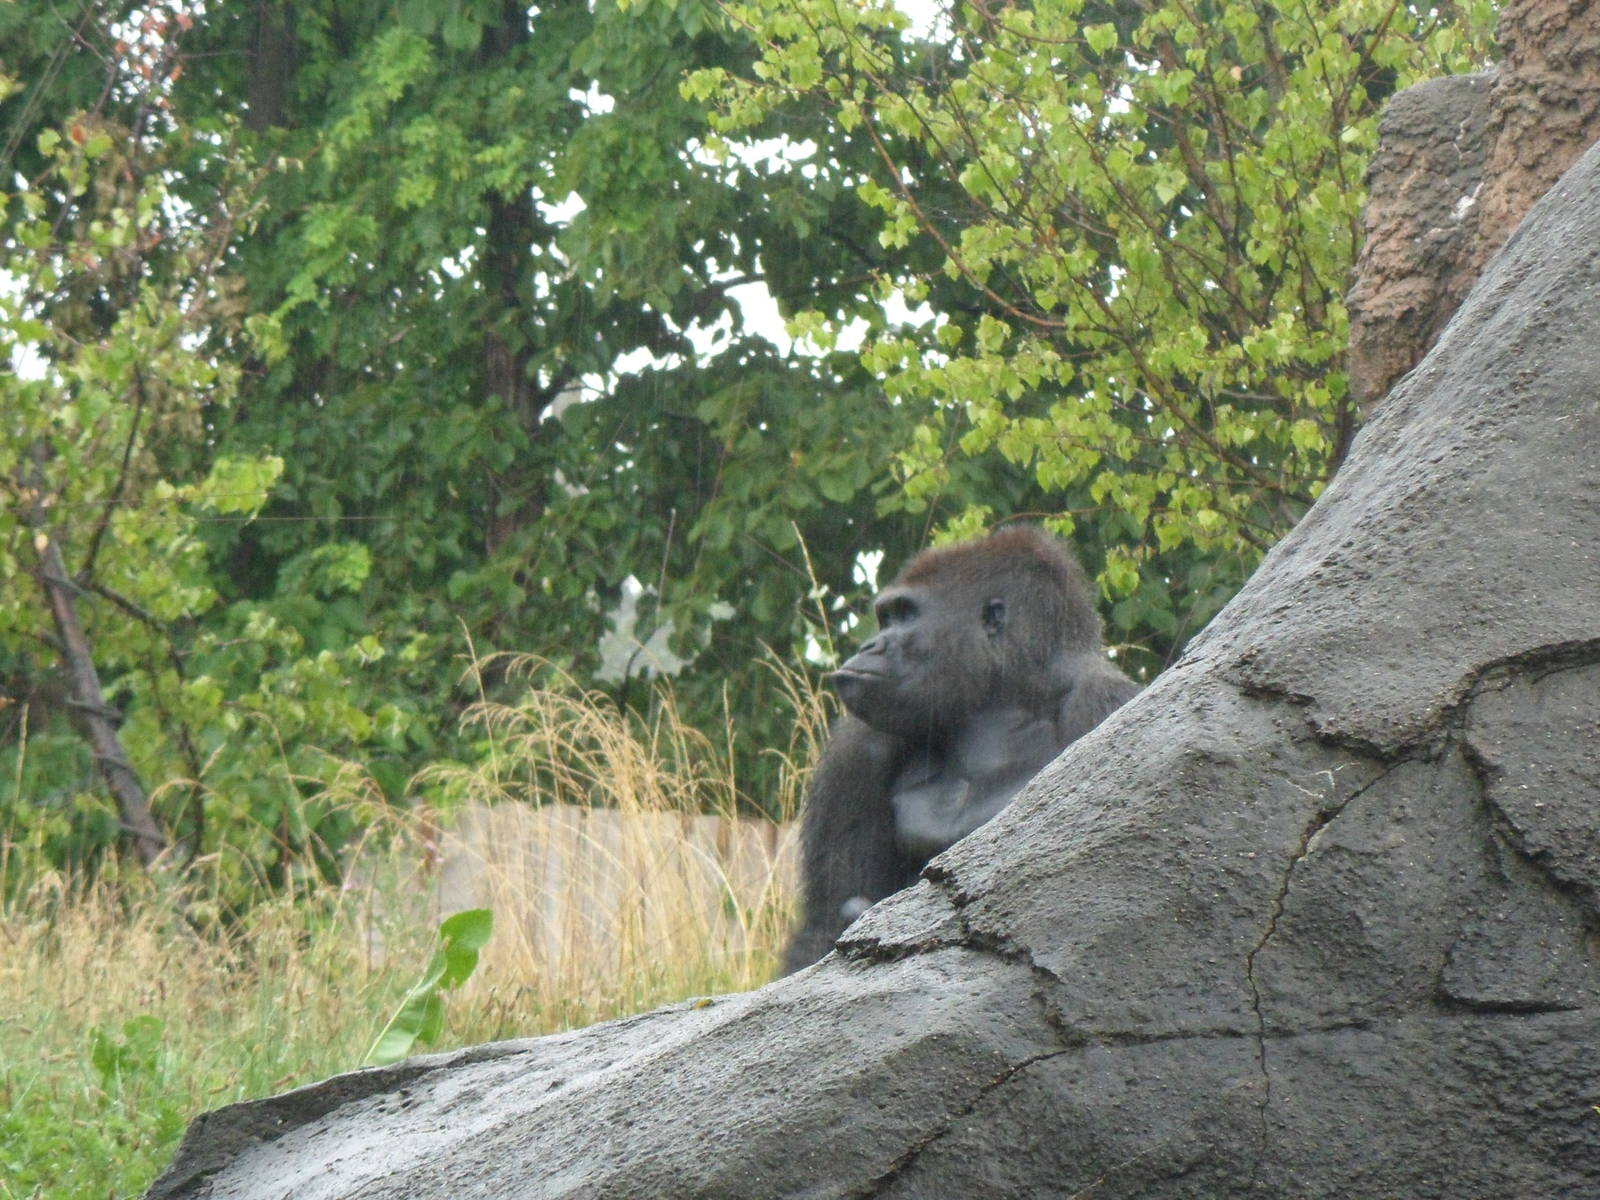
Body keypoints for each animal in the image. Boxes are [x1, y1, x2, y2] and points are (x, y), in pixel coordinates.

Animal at [781, 526, 1139, 974]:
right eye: (886, 617)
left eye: (906, 615)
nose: (869, 646)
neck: (1005, 696)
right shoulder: (860, 746)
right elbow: (824, 925)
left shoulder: (1104, 701)